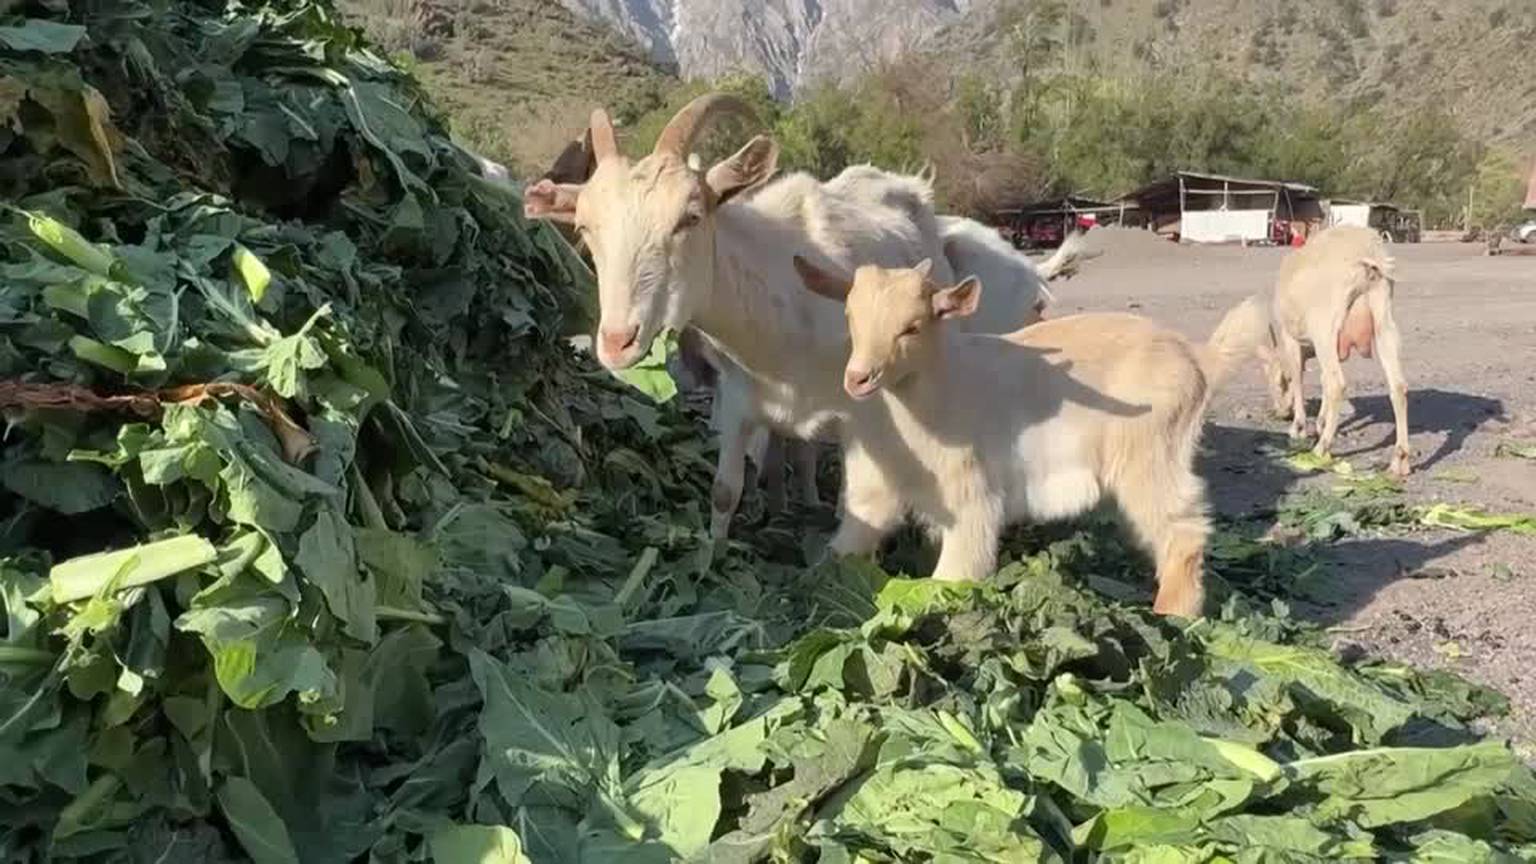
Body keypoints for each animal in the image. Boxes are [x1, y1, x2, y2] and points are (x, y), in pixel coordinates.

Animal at [528, 92, 1056, 538]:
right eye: (585, 228)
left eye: (690, 218)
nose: (617, 341)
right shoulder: (738, 397)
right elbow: (725, 491)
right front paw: (712, 558)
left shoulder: (858, 403)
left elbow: (858, 498)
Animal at [798, 256, 1265, 618]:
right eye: (850, 317)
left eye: (912, 327)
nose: (859, 378)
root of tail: (1199, 358)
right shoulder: (872, 485)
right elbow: (849, 541)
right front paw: (814, 583)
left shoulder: (972, 496)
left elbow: (957, 570)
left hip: (1150, 455)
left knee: (1183, 529)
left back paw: (1174, 615)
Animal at [1253, 225, 1406, 473]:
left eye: (1276, 381)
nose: (1281, 412)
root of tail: (1366, 250)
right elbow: (1322, 379)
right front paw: (1321, 422)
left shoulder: (1291, 338)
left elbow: (1299, 377)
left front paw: (1299, 427)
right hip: (1382, 315)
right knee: (1398, 385)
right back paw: (1400, 460)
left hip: (1324, 324)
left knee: (1337, 384)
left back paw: (1321, 448)